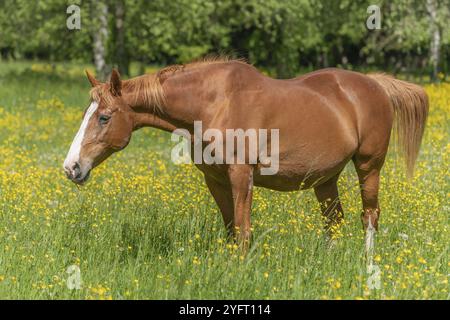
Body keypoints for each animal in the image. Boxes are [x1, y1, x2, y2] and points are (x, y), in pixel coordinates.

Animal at [63, 58, 428, 252]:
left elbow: (243, 228)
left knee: (370, 215)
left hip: (369, 166)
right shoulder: (215, 179)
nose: (71, 167)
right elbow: (229, 227)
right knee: (333, 219)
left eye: (104, 117)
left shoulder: (241, 174)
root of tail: (374, 84)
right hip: (326, 178)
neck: (215, 104)